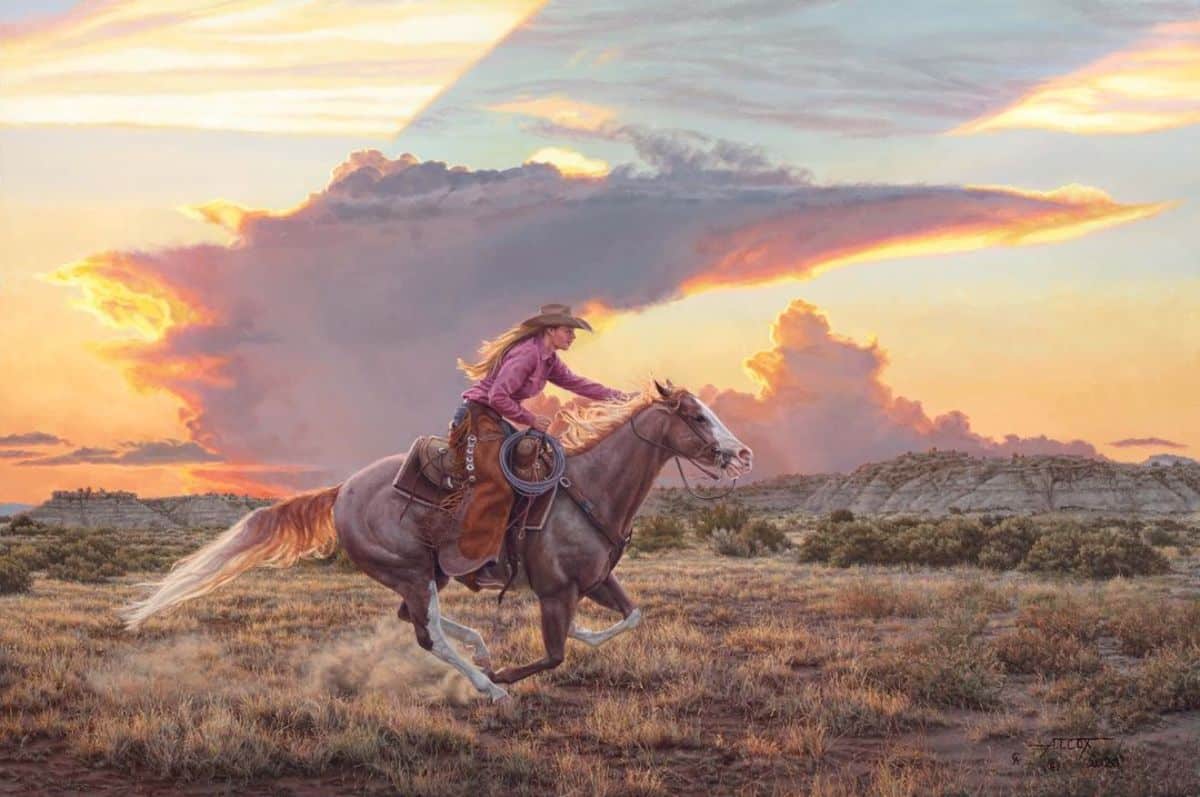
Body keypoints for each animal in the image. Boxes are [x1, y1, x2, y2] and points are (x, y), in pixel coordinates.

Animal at [121, 384, 748, 700]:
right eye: (695, 415)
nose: (741, 454)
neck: (588, 492)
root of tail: (344, 490)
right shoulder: (555, 591)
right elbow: (553, 653)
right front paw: (505, 680)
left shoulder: (597, 580)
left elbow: (629, 617)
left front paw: (581, 635)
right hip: (410, 571)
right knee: (427, 635)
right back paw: (485, 682)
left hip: (429, 573)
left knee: (418, 621)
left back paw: (481, 649)